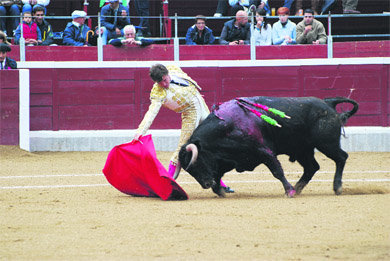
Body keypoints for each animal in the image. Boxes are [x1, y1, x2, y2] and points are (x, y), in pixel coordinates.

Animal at [177, 96, 360, 196]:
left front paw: (289, 191)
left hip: (326, 144)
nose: (205, 184)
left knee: (341, 157)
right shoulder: (229, 159)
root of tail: (328, 103)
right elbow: (218, 174)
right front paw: (219, 190)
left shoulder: (264, 151)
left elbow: (277, 171)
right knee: (312, 167)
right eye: (189, 170)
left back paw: (336, 187)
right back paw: (299, 188)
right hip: (303, 149)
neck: (228, 125)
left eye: (197, 162)